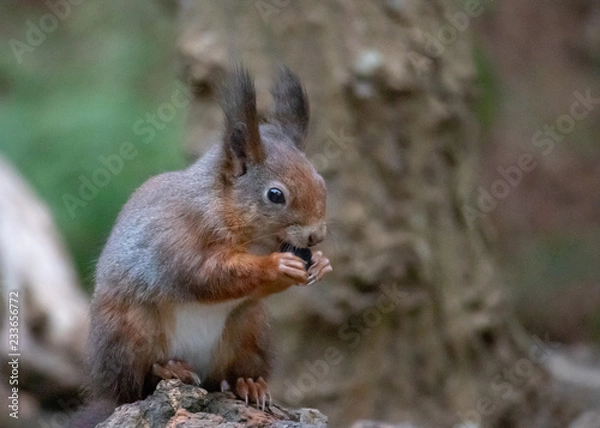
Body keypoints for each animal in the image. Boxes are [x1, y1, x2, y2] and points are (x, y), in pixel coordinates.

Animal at [75, 67, 332, 428]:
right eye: (275, 195)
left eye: (321, 182)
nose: (316, 236)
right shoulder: (177, 237)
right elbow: (205, 276)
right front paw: (277, 267)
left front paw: (320, 264)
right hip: (127, 331)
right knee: (135, 385)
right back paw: (167, 369)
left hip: (251, 330)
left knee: (231, 374)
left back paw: (249, 384)